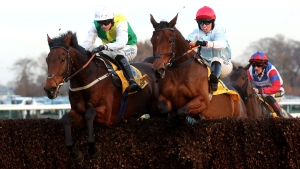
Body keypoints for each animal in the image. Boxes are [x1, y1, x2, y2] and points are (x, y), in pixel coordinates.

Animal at [44, 30, 159, 164]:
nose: (49, 89)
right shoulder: (77, 113)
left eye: (63, 59)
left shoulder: (108, 117)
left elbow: (89, 114)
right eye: (47, 60)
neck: (87, 78)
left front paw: (93, 149)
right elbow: (66, 118)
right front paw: (75, 153)